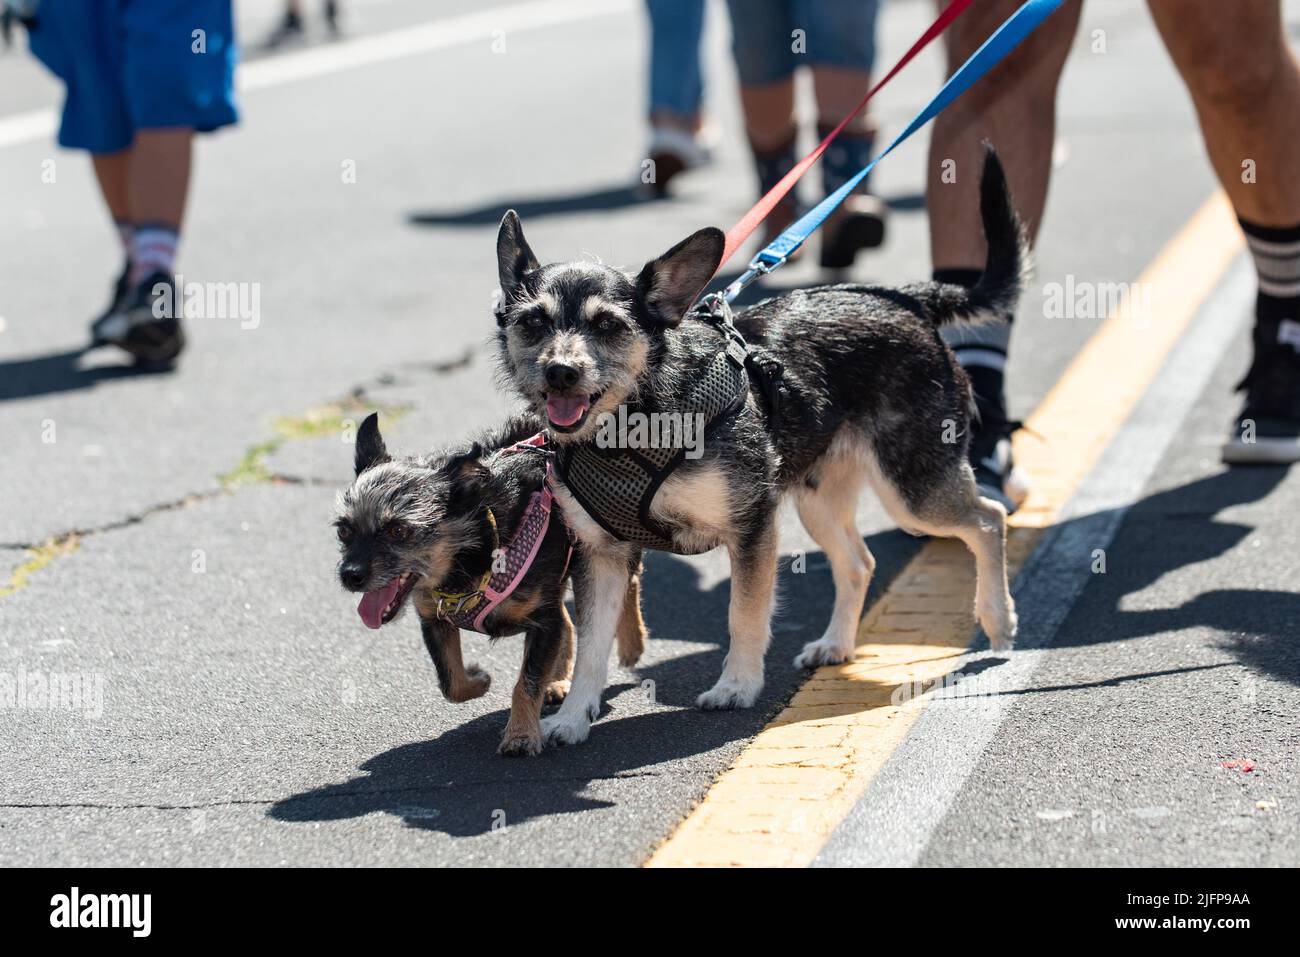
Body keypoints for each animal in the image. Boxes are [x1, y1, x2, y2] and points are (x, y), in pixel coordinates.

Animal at [330, 410, 644, 754]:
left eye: (398, 530)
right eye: (343, 531)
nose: (350, 575)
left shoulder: (543, 622)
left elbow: (526, 682)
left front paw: (521, 735)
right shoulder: (433, 619)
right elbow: (450, 682)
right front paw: (478, 681)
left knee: (628, 582)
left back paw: (632, 643)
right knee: (570, 623)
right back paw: (559, 680)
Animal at [488, 145, 1024, 743]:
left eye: (607, 326)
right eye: (533, 322)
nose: (560, 371)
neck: (637, 420)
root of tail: (906, 301)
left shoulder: (751, 528)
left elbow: (743, 614)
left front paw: (737, 685)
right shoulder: (603, 555)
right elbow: (591, 647)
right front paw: (573, 715)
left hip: (912, 489)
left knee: (989, 520)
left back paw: (998, 618)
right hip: (819, 500)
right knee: (859, 562)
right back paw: (837, 644)